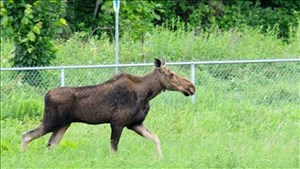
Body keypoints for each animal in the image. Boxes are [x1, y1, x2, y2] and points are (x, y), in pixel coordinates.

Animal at [21, 58, 195, 158]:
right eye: (171, 74)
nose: (191, 87)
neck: (147, 94)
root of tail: (46, 95)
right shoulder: (118, 122)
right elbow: (113, 150)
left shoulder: (135, 123)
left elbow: (156, 138)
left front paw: (160, 159)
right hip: (51, 121)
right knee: (27, 136)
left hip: (63, 124)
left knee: (50, 144)